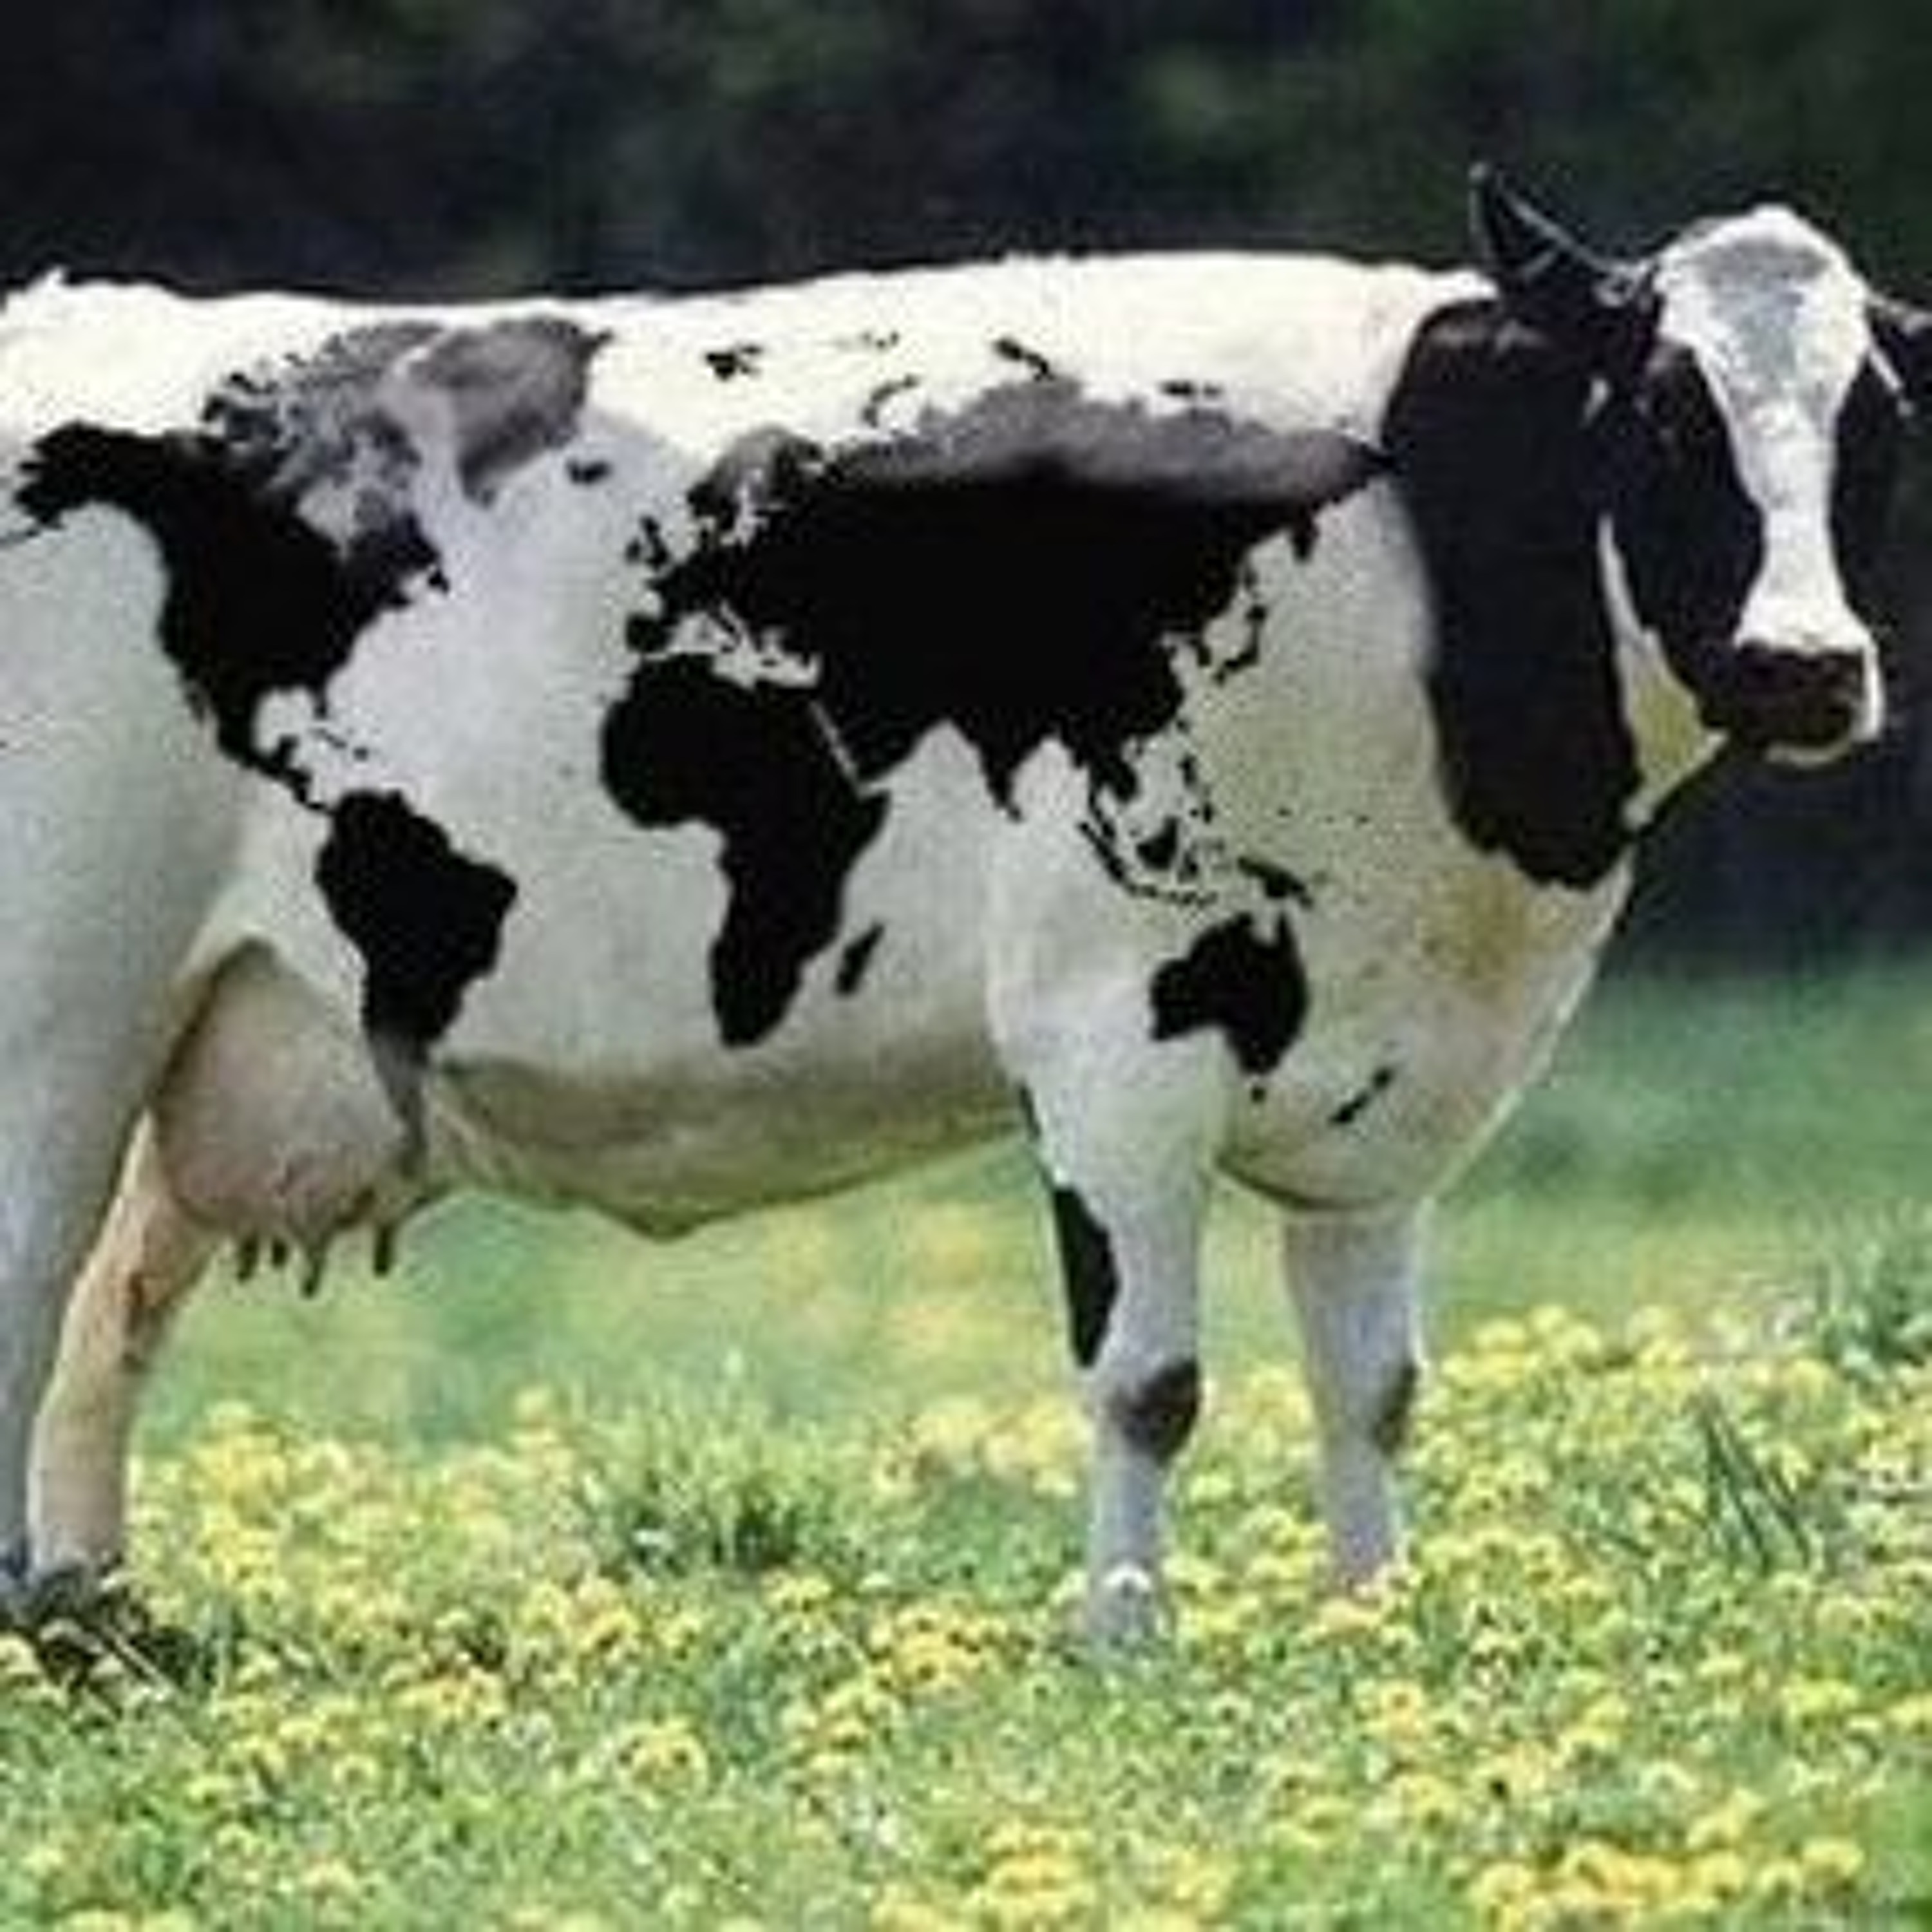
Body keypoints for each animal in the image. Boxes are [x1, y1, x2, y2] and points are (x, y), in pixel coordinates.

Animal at [3, 169, 1925, 1646]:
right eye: (1664, 415)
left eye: (1878, 432)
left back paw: (93, 1619)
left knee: (104, 1317)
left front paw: (1376, 1623)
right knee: (35, 1288)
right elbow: (1150, 1380)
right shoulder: (1120, 1028)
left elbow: (1374, 1384)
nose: (1805, 665)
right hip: (59, 1022)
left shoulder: (1388, 1080)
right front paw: (1130, 1642)